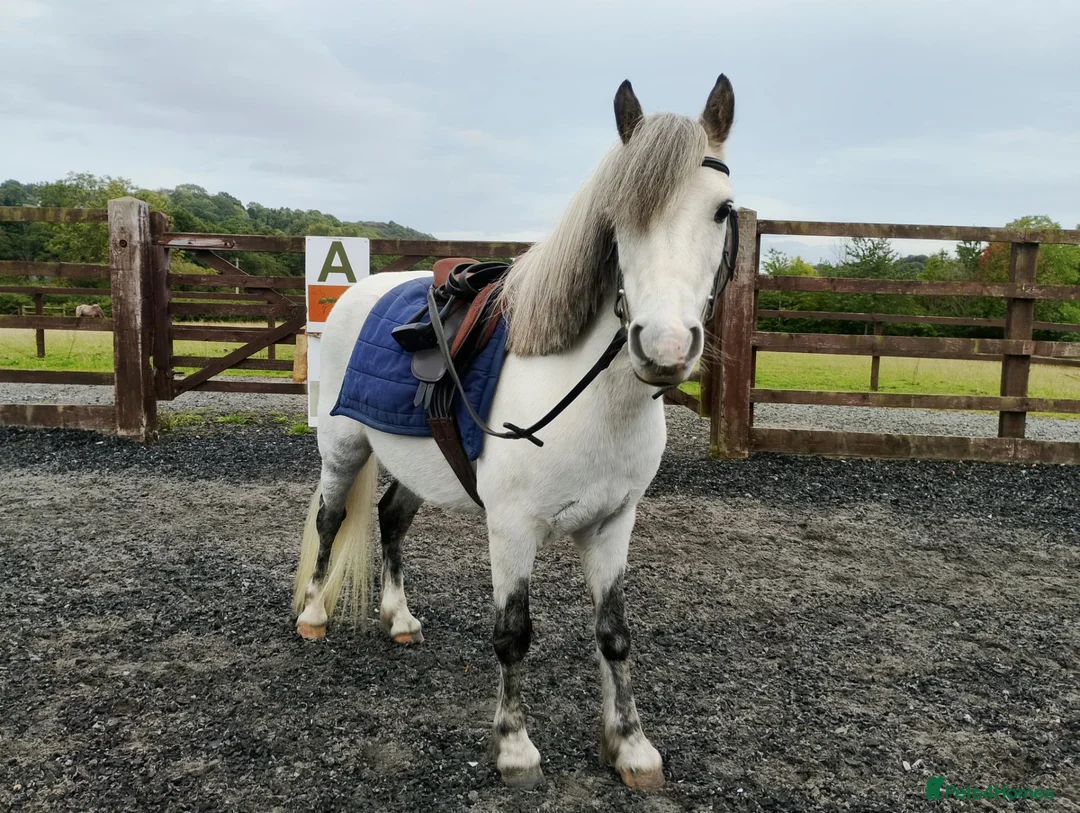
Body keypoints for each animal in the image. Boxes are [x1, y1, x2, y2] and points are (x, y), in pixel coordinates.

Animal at [293, 74, 737, 790]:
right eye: (616, 218)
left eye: (722, 210)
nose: (664, 346)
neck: (588, 399)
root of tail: (359, 295)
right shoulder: (511, 528)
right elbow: (513, 634)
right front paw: (515, 748)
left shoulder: (613, 525)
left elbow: (613, 633)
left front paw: (631, 746)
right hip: (343, 449)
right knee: (331, 519)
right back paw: (312, 614)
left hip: (416, 467)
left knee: (390, 518)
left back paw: (399, 618)